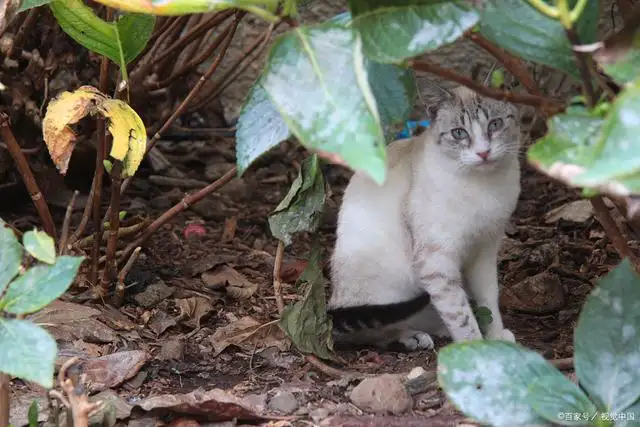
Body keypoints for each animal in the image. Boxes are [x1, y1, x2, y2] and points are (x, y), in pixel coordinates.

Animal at [328, 84, 524, 352]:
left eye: (495, 124)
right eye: (459, 133)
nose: (483, 152)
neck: (485, 187)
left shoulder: (485, 248)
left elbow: (488, 300)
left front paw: (496, 340)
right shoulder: (436, 261)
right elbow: (461, 315)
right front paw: (473, 351)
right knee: (364, 332)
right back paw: (412, 337)